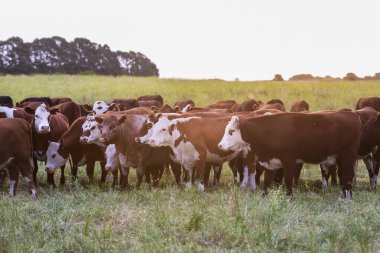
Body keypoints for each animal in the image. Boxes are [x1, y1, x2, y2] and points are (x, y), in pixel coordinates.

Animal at [218, 111, 360, 199]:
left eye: (231, 131)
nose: (220, 145)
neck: (270, 131)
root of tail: (351, 114)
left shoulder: (289, 161)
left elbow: (288, 180)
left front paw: (289, 197)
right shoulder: (270, 162)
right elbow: (267, 181)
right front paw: (264, 196)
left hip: (347, 157)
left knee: (347, 177)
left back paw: (347, 198)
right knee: (344, 177)